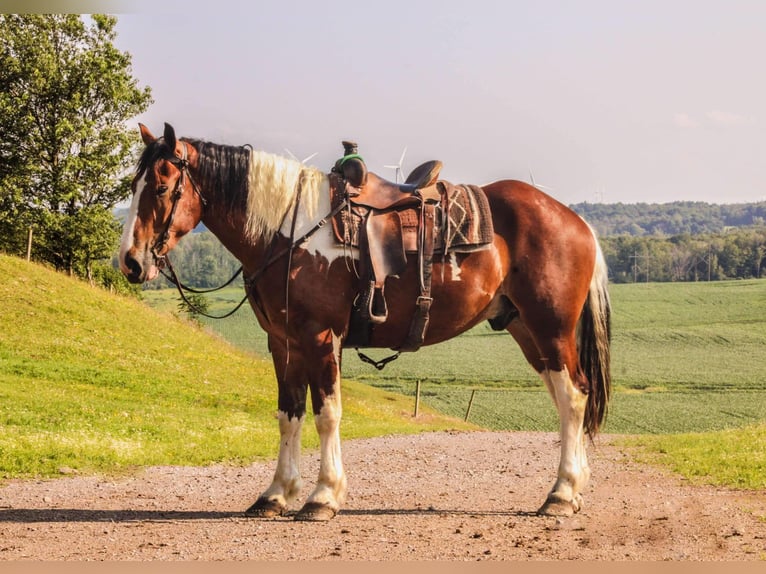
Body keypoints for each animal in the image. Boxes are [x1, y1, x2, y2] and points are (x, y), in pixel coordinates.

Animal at [120, 124, 612, 524]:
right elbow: (288, 415)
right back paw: (574, 488)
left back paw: (561, 494)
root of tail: (577, 220)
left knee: (573, 398)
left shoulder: (321, 338)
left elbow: (327, 414)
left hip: (551, 328)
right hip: (527, 331)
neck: (288, 232)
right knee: (567, 397)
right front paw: (276, 494)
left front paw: (322, 497)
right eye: (134, 184)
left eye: (161, 187)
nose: (130, 262)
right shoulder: (283, 343)